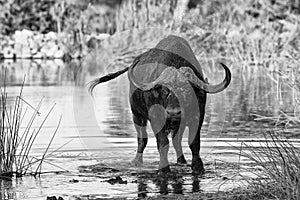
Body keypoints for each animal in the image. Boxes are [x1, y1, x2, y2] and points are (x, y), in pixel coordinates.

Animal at [88, 35, 231, 174]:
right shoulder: (156, 119)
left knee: (176, 141)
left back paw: (181, 162)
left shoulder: (197, 117)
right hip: (137, 115)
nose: (173, 112)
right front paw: (163, 168)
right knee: (142, 140)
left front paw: (197, 167)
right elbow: (163, 143)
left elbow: (194, 143)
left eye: (186, 89)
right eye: (164, 90)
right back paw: (137, 161)